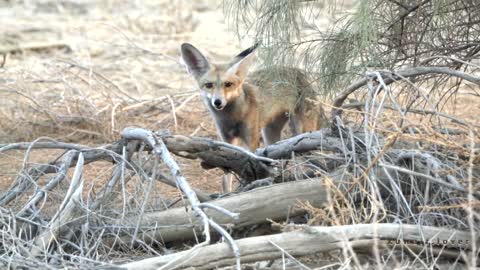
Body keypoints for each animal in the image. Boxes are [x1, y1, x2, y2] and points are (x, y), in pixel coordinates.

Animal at [180, 43, 326, 151]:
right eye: (208, 85)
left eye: (228, 84)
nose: (217, 102)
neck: (232, 118)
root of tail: (300, 72)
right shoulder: (226, 138)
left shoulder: (251, 140)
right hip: (269, 133)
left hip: (303, 130)